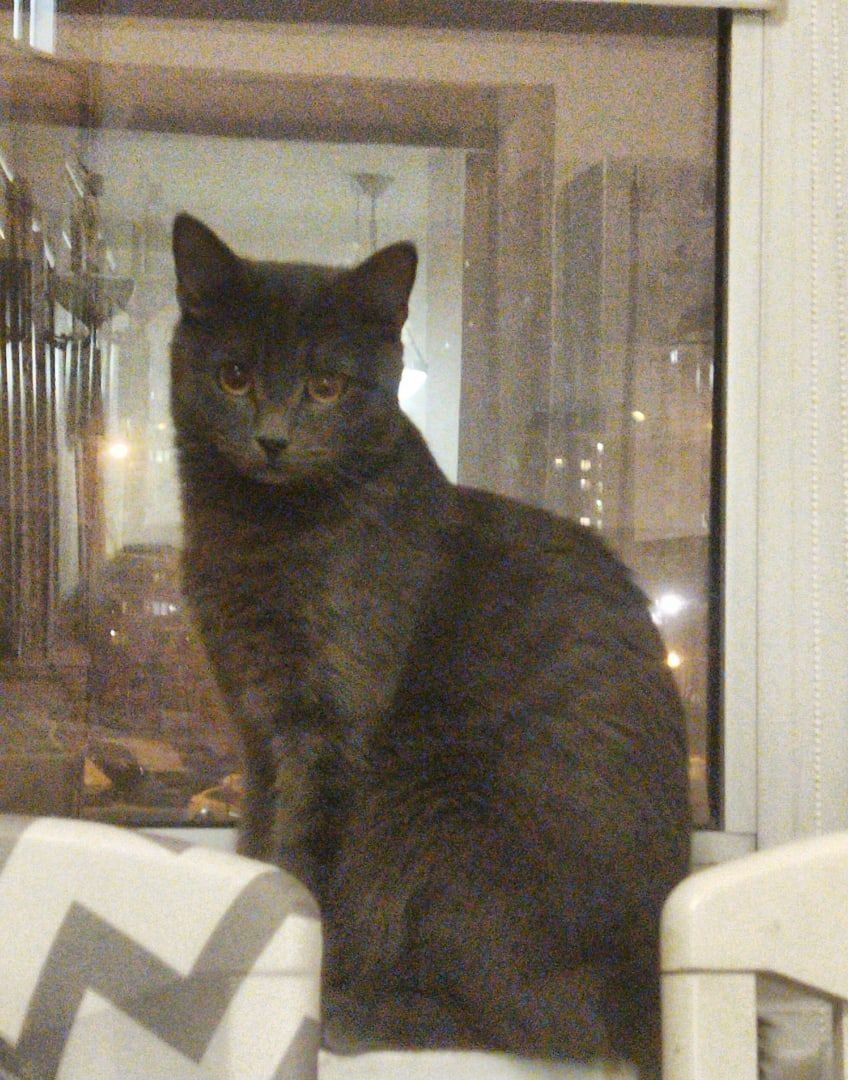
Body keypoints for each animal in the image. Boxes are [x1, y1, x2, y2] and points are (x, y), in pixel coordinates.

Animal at [170, 212, 691, 1077]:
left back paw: (363, 1014)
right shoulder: (258, 724)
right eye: (235, 376)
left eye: (325, 386)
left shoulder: (327, 723)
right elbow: (259, 832)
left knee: (540, 1024)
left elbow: (302, 860)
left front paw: (297, 967)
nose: (273, 439)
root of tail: (649, 983)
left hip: (438, 812)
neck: (256, 535)